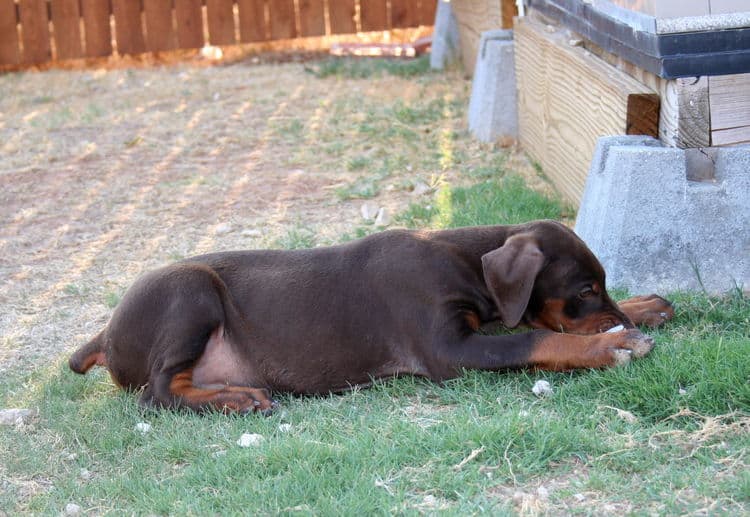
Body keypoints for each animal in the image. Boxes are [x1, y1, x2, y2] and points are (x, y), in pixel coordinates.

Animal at [69, 220, 676, 414]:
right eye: (585, 291)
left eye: (603, 285)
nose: (617, 320)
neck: (460, 262)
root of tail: (105, 333)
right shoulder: (448, 351)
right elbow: (533, 340)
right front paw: (614, 344)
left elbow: (532, 327)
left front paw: (644, 308)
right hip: (189, 291)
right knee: (156, 392)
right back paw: (235, 399)